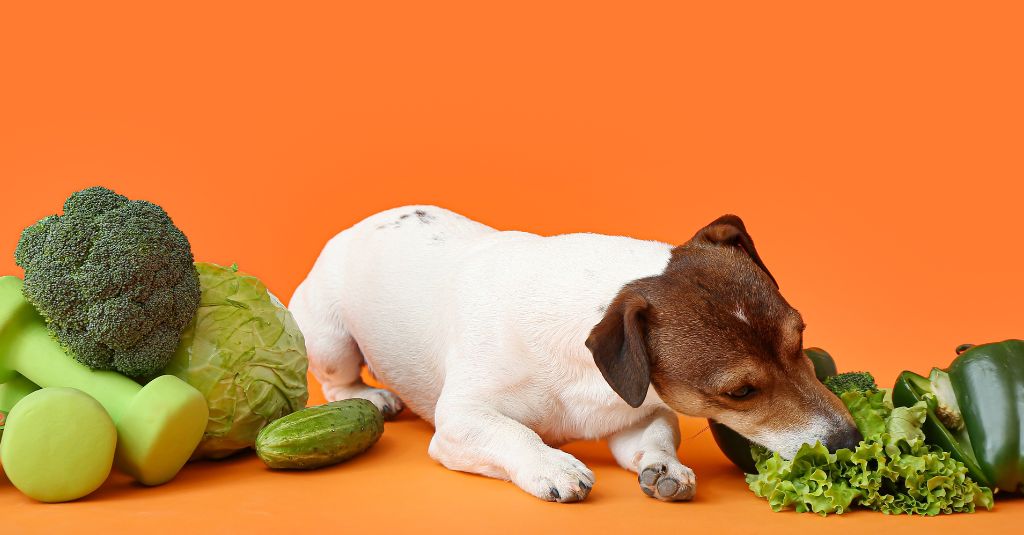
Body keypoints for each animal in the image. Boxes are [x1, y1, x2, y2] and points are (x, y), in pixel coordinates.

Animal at [290, 204, 864, 500]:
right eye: (740, 391)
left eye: (800, 340)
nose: (850, 441)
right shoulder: (461, 420)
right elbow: (512, 432)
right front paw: (553, 465)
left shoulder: (640, 410)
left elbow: (655, 438)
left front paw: (664, 466)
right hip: (328, 336)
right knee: (337, 376)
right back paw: (370, 395)